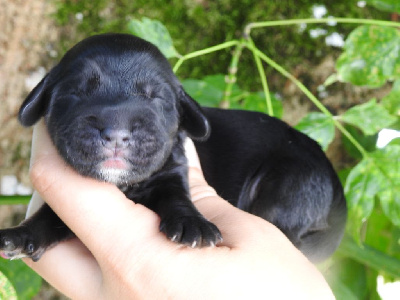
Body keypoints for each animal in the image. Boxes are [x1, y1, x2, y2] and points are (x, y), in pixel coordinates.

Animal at [0, 33, 344, 262]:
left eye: (157, 98)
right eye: (75, 92)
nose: (116, 133)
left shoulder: (173, 172)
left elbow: (176, 197)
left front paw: (194, 224)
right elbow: (50, 217)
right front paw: (20, 236)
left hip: (291, 184)